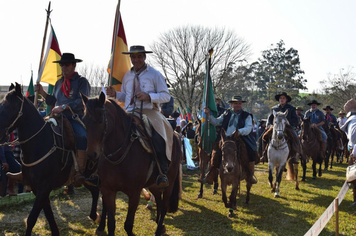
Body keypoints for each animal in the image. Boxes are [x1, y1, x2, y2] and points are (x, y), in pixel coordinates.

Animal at [0, 83, 103, 234]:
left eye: (10, 107)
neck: (41, 143)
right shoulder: (37, 188)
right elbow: (48, 213)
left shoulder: (44, 187)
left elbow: (32, 218)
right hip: (86, 178)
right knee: (95, 191)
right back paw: (95, 216)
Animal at [80, 92, 181, 236]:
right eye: (84, 120)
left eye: (100, 119)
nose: (91, 155)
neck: (119, 155)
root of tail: (176, 135)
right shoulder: (108, 190)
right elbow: (111, 224)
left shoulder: (134, 193)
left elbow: (128, 225)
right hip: (153, 184)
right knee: (159, 201)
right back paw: (160, 227)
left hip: (170, 182)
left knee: (164, 204)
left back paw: (158, 229)